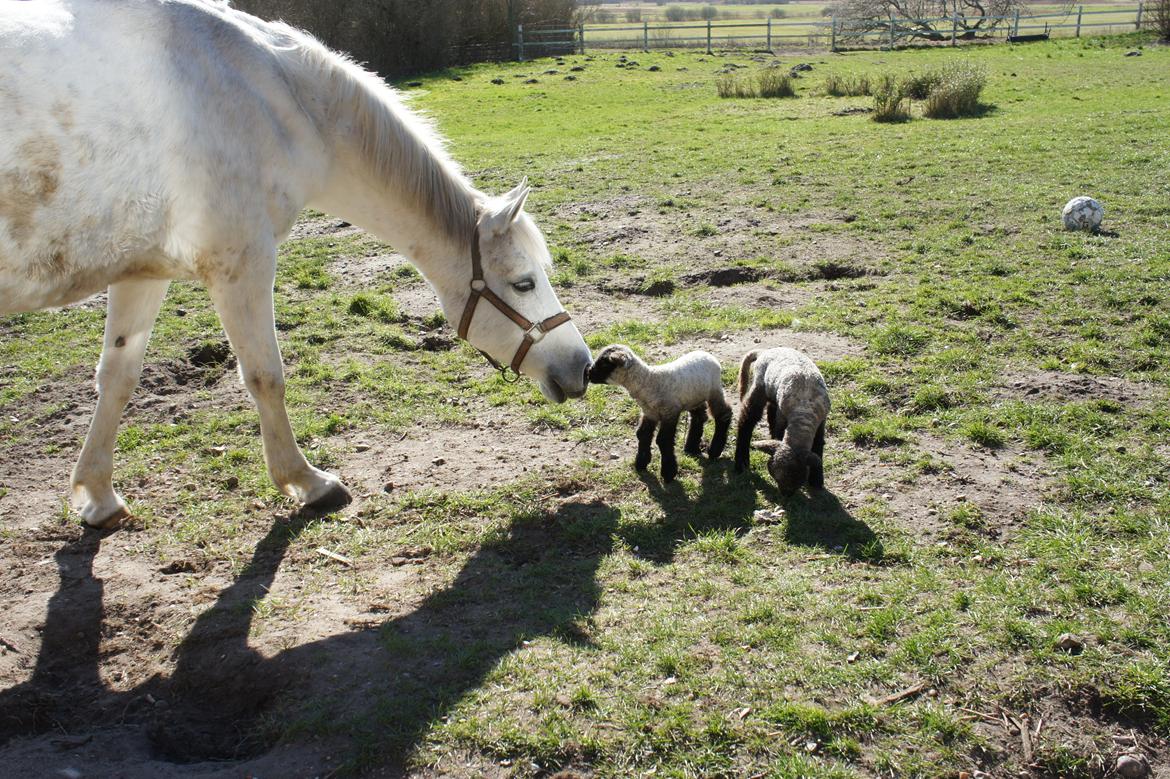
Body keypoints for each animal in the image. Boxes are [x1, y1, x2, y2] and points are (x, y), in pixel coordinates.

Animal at [0, 1, 589, 528]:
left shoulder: (143, 272)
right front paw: (306, 482)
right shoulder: (242, 263)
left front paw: (97, 496)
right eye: (523, 283)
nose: (582, 366)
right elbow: (266, 376)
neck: (272, 97)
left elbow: (118, 377)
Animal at [585, 343, 730, 479]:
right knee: (699, 417)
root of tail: (709, 355)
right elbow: (642, 434)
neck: (648, 381)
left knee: (724, 414)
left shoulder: (670, 412)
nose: (588, 373)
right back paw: (691, 448)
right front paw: (641, 463)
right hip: (693, 397)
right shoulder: (649, 413)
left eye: (604, 364)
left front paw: (668, 472)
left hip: (714, 391)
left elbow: (663, 440)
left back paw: (714, 450)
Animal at [730, 343, 833, 491]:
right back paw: (741, 462)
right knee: (747, 419)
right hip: (760, 386)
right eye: (776, 476)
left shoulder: (821, 422)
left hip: (773, 395)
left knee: (769, 412)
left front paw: (817, 480)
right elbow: (778, 432)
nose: (786, 494)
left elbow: (818, 447)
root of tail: (764, 352)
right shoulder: (782, 416)